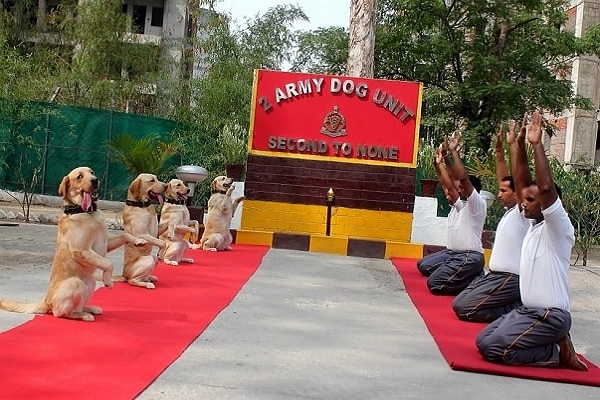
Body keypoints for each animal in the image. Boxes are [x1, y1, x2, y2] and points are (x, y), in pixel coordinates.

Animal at [0, 166, 145, 322]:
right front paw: (108, 280)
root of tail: (47, 301)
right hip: (75, 283)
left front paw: (139, 241)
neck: (87, 212)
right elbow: (108, 263)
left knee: (77, 306)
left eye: (92, 172)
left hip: (90, 283)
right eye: (79, 176)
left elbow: (125, 235)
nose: (95, 180)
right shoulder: (81, 250)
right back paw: (83, 315)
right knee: (61, 313)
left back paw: (89, 309)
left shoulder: (105, 243)